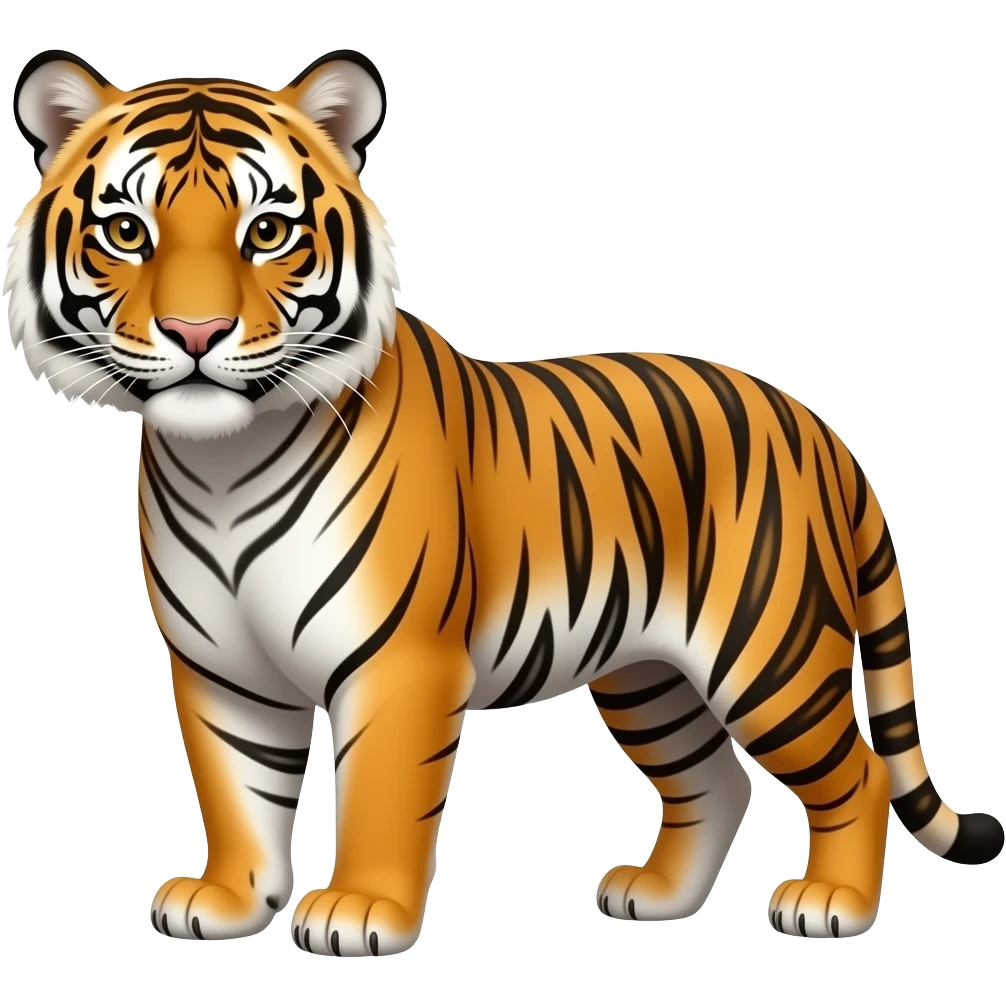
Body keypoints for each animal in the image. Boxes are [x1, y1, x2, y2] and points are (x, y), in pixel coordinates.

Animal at [5, 47, 1002, 956]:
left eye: (269, 232)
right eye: (127, 231)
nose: (197, 333)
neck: (222, 462)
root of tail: (815, 424)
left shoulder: (400, 660)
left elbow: (379, 794)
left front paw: (360, 911)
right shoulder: (221, 667)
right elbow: (235, 789)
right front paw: (227, 902)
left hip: (768, 653)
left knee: (858, 774)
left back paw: (832, 905)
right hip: (652, 675)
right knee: (715, 781)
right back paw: (658, 897)